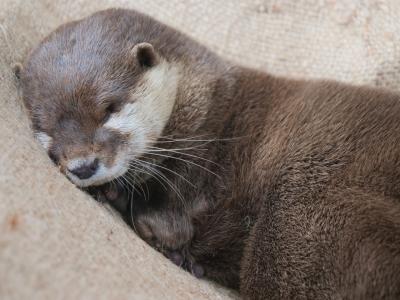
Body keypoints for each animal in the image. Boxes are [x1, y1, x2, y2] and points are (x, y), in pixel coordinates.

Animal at [18, 8, 400, 298]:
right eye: (45, 128)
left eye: (109, 108)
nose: (83, 166)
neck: (211, 111)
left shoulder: (197, 164)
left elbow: (169, 221)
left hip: (305, 207)